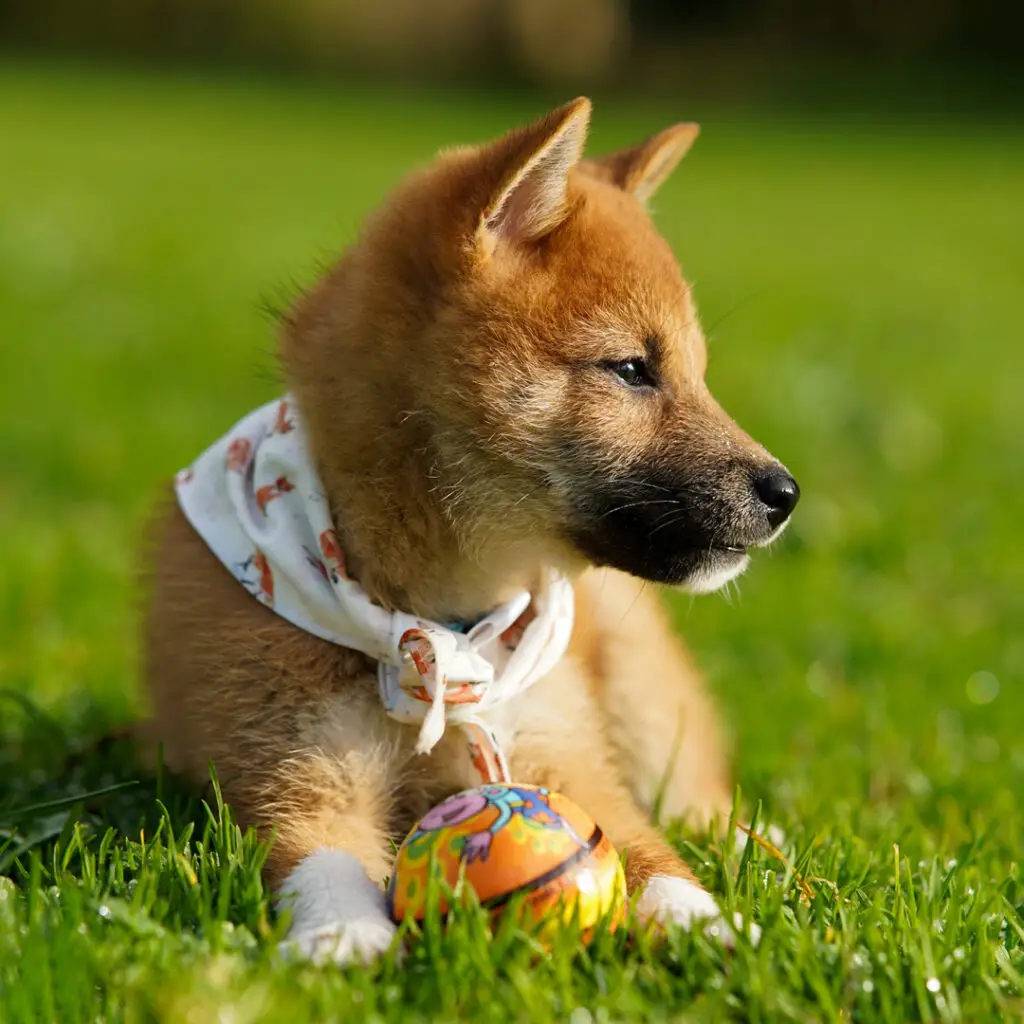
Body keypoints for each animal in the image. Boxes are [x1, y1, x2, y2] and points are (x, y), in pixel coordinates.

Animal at [140, 97, 798, 965]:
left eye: (700, 374)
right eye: (631, 370)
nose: (786, 492)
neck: (441, 623)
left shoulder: (566, 759)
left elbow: (653, 854)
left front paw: (712, 929)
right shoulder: (300, 769)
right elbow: (323, 861)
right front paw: (342, 939)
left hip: (646, 706)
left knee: (701, 803)